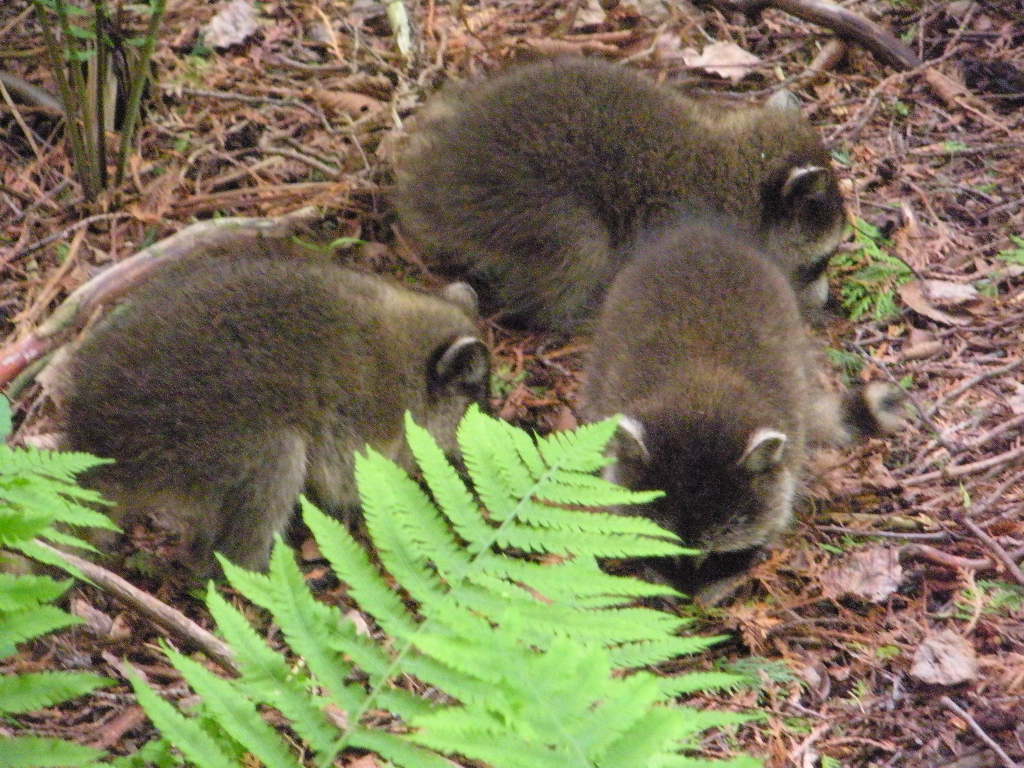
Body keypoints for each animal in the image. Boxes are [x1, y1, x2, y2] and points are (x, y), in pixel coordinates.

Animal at [59, 256, 489, 578]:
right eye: (479, 413)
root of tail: (97, 440)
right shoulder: (363, 417)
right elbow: (346, 480)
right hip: (205, 434)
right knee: (275, 469)